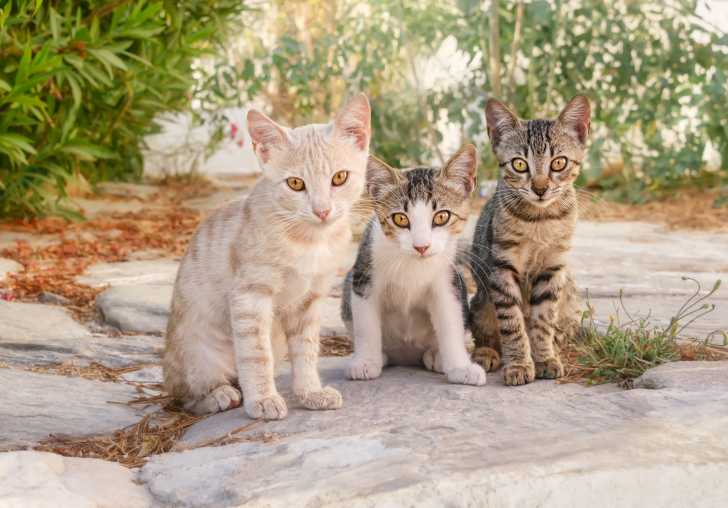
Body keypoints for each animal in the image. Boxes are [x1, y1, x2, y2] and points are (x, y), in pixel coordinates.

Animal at [163, 93, 372, 418]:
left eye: (339, 178)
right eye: (296, 183)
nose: (322, 210)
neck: (310, 241)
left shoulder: (310, 299)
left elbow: (306, 350)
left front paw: (310, 392)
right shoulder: (250, 295)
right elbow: (256, 353)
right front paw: (262, 399)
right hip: (196, 354)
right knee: (183, 393)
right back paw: (220, 395)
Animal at [340, 145, 486, 386]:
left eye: (442, 217)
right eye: (400, 219)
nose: (421, 246)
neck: (412, 264)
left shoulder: (447, 280)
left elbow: (451, 320)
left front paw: (460, 366)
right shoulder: (363, 275)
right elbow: (365, 325)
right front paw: (365, 362)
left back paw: (436, 356)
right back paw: (379, 356)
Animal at [470, 96, 588, 384]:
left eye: (559, 163)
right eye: (519, 164)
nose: (540, 188)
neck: (539, 221)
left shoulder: (552, 268)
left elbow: (542, 321)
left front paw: (544, 358)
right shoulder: (502, 267)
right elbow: (512, 323)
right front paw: (519, 364)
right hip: (480, 301)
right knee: (484, 329)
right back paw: (487, 353)